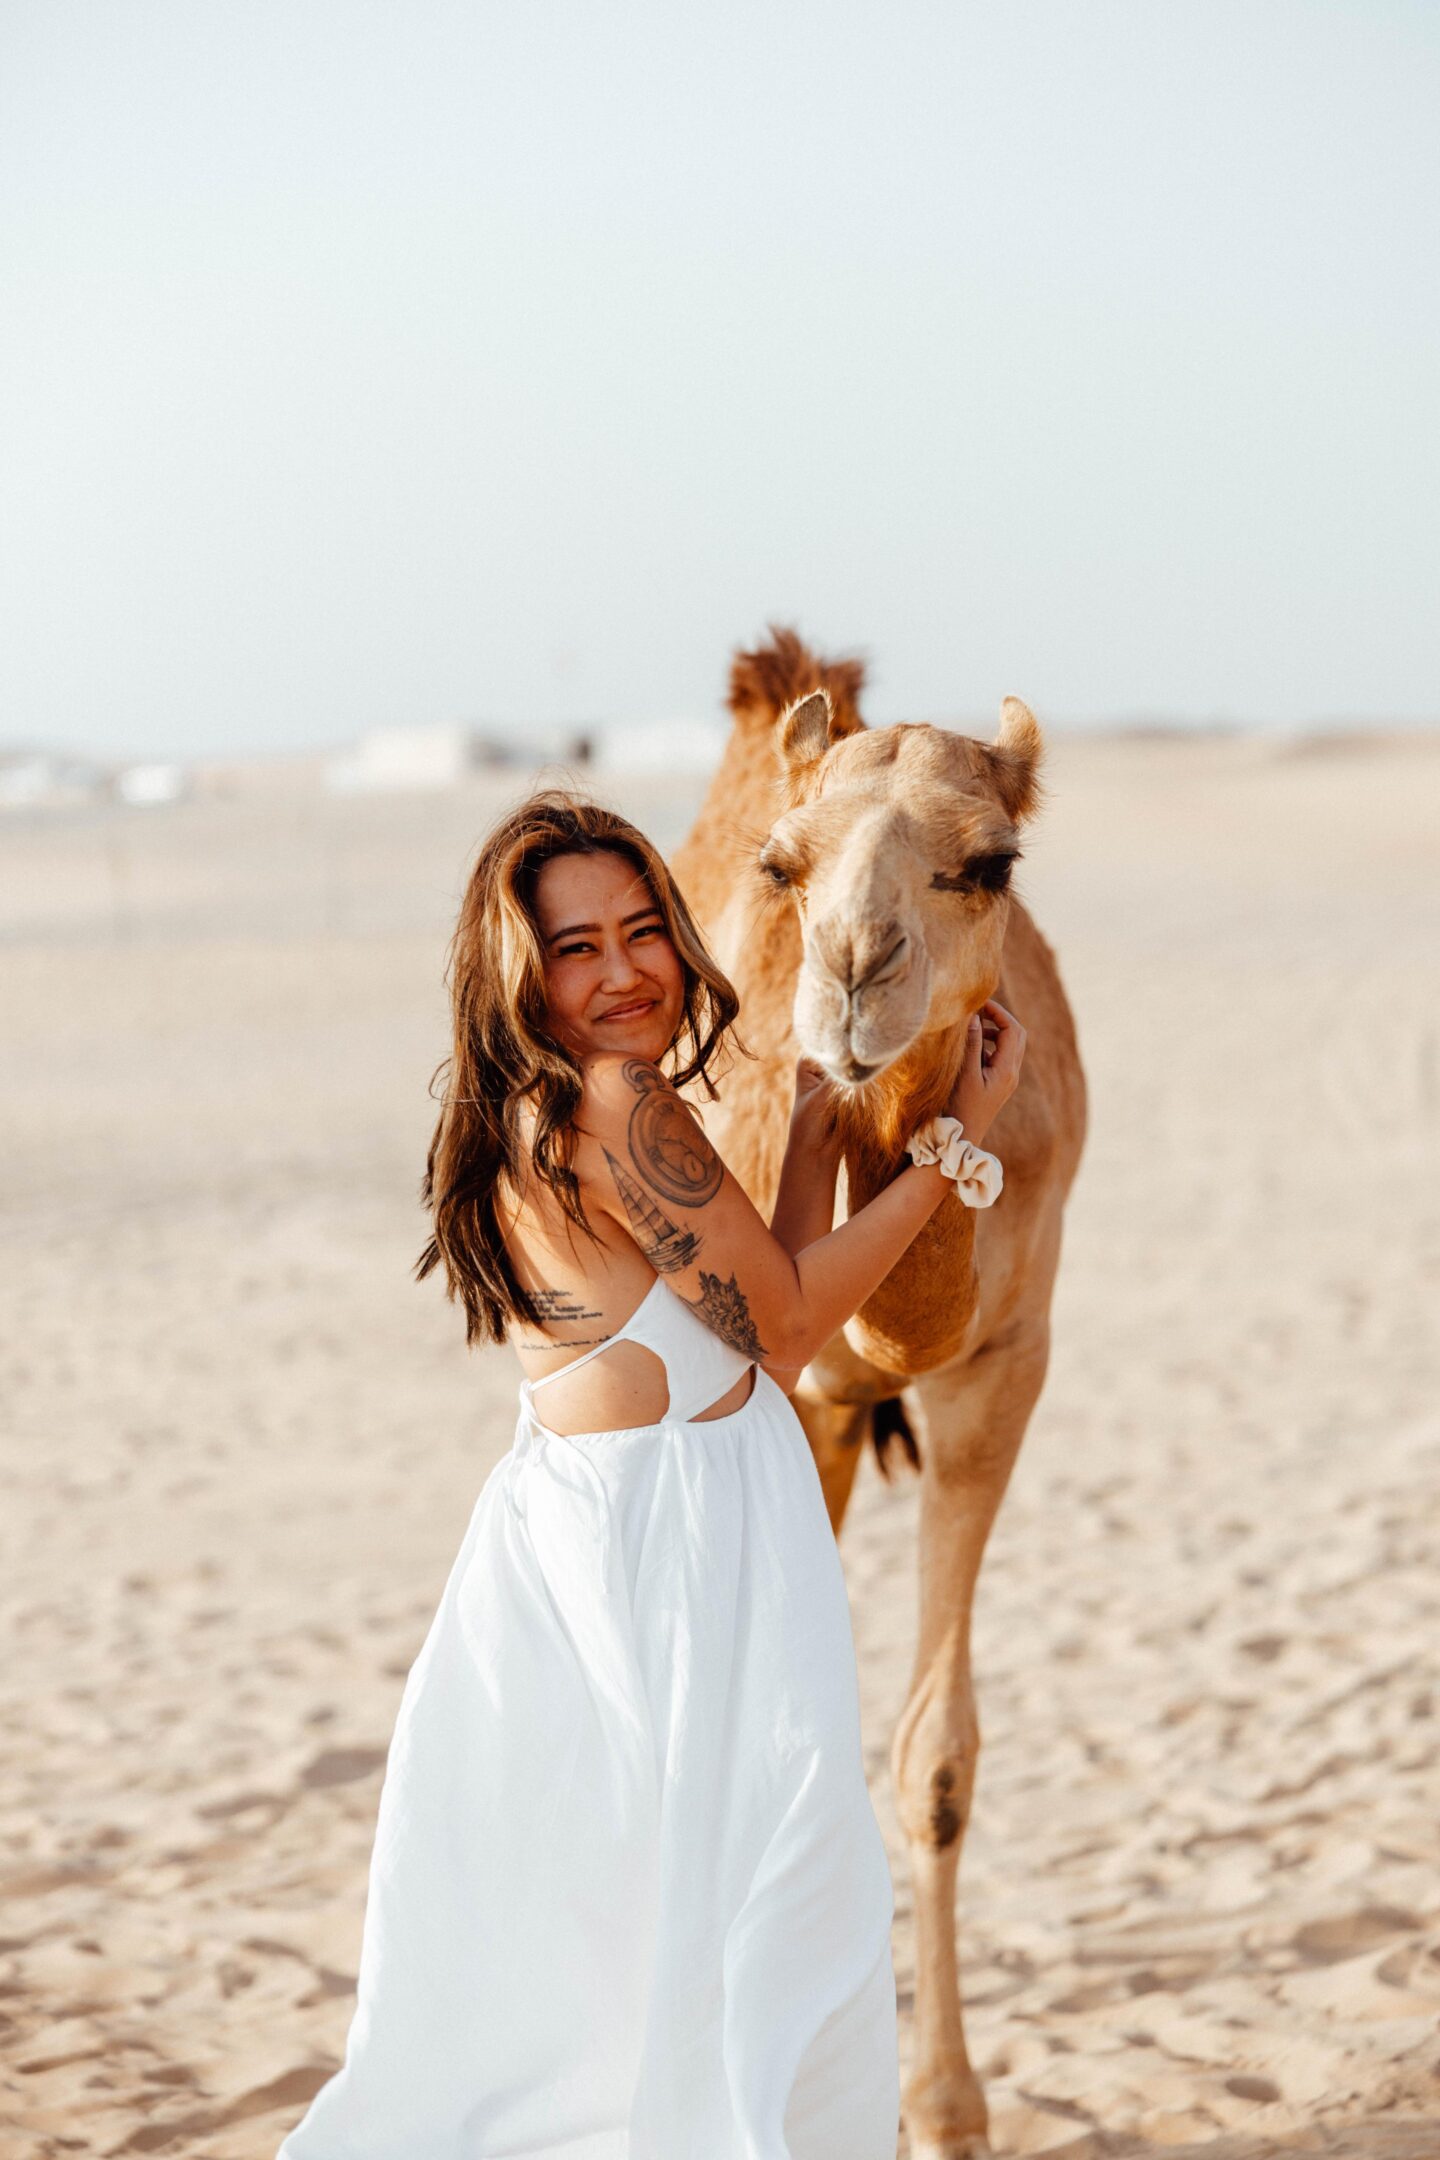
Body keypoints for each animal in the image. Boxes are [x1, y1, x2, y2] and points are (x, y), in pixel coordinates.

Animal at [669, 630, 1088, 2160]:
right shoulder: (781, 1386)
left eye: (993, 861)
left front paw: (946, 2106)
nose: (854, 968)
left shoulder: (1002, 1369)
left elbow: (935, 1764)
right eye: (785, 863)